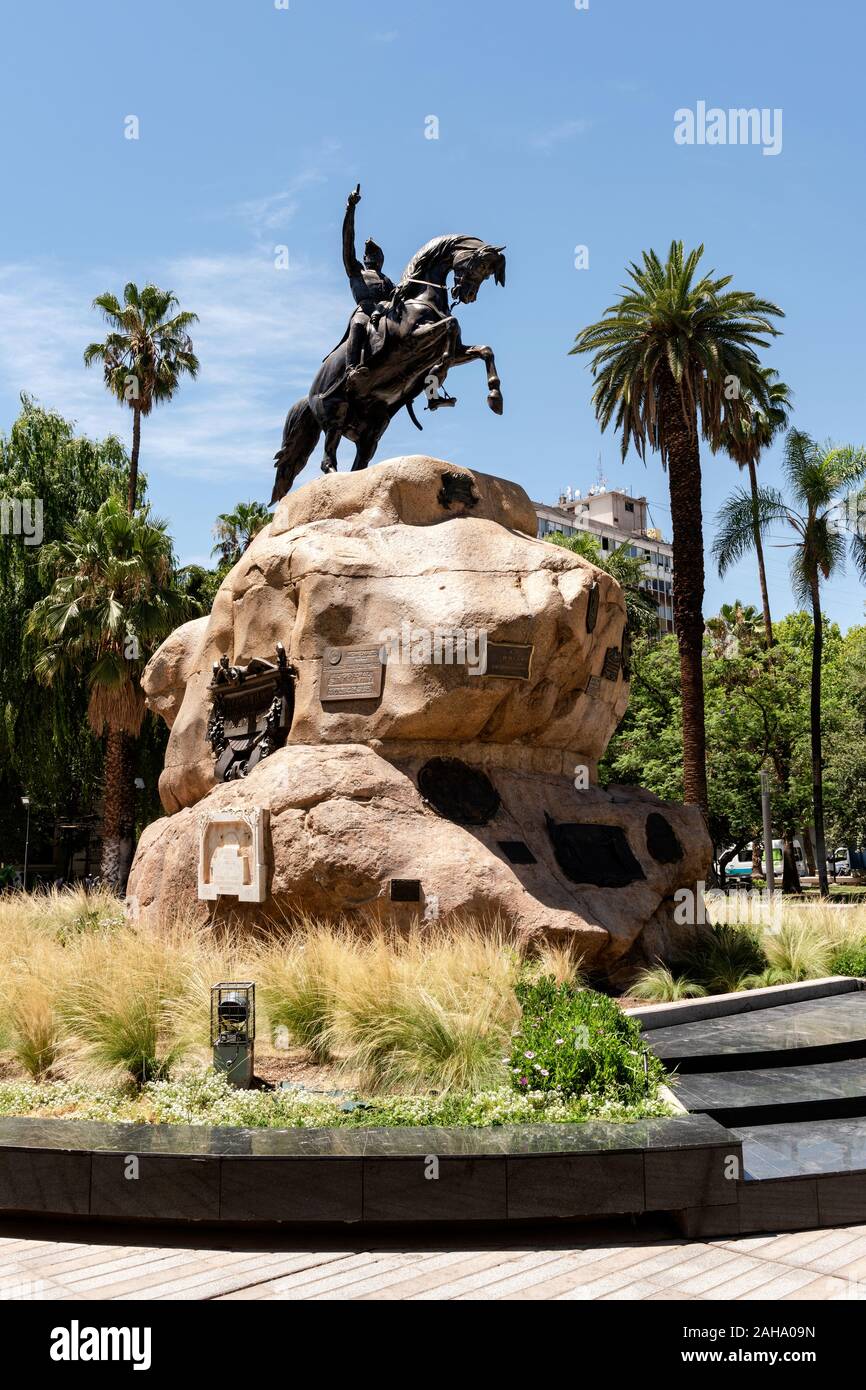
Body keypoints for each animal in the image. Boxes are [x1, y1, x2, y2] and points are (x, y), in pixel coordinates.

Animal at [269, 234, 500, 505]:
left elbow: (484, 350)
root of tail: (309, 395)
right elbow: (451, 325)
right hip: (335, 412)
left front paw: (494, 397)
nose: (466, 295)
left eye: (487, 273)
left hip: (374, 428)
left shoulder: (458, 350)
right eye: (479, 265)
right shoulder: (412, 339)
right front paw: (438, 373)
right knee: (328, 459)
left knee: (359, 464)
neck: (422, 298)